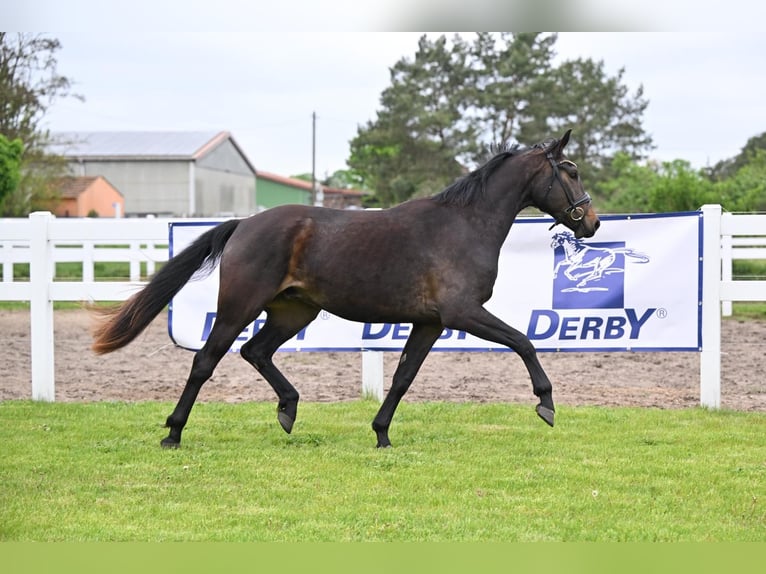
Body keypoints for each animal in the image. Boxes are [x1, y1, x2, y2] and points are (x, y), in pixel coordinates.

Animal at [92, 129, 600, 448]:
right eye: (570, 170)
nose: (591, 223)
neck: (463, 225)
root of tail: (243, 224)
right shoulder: (463, 312)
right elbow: (524, 341)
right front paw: (546, 403)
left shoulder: (431, 323)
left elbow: (403, 377)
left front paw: (381, 434)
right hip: (239, 306)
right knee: (205, 361)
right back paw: (173, 433)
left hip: (293, 312)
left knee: (255, 352)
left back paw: (288, 409)